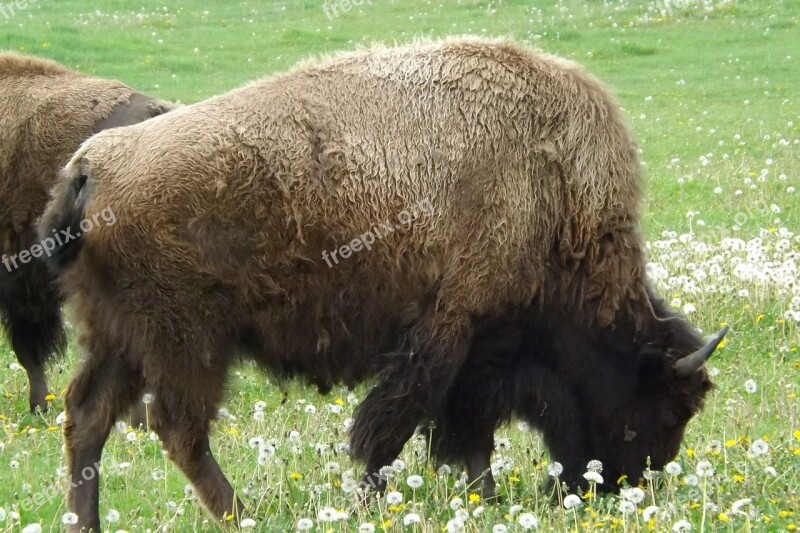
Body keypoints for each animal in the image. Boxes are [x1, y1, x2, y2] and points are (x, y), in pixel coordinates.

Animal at [37, 36, 724, 528]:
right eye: (667, 408)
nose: (623, 487)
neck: (551, 195)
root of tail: (90, 165)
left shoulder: (473, 359)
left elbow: (464, 436)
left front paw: (484, 498)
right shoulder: (446, 341)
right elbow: (394, 433)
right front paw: (378, 501)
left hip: (119, 338)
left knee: (88, 417)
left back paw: (85, 522)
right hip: (187, 341)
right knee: (177, 427)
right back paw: (242, 515)